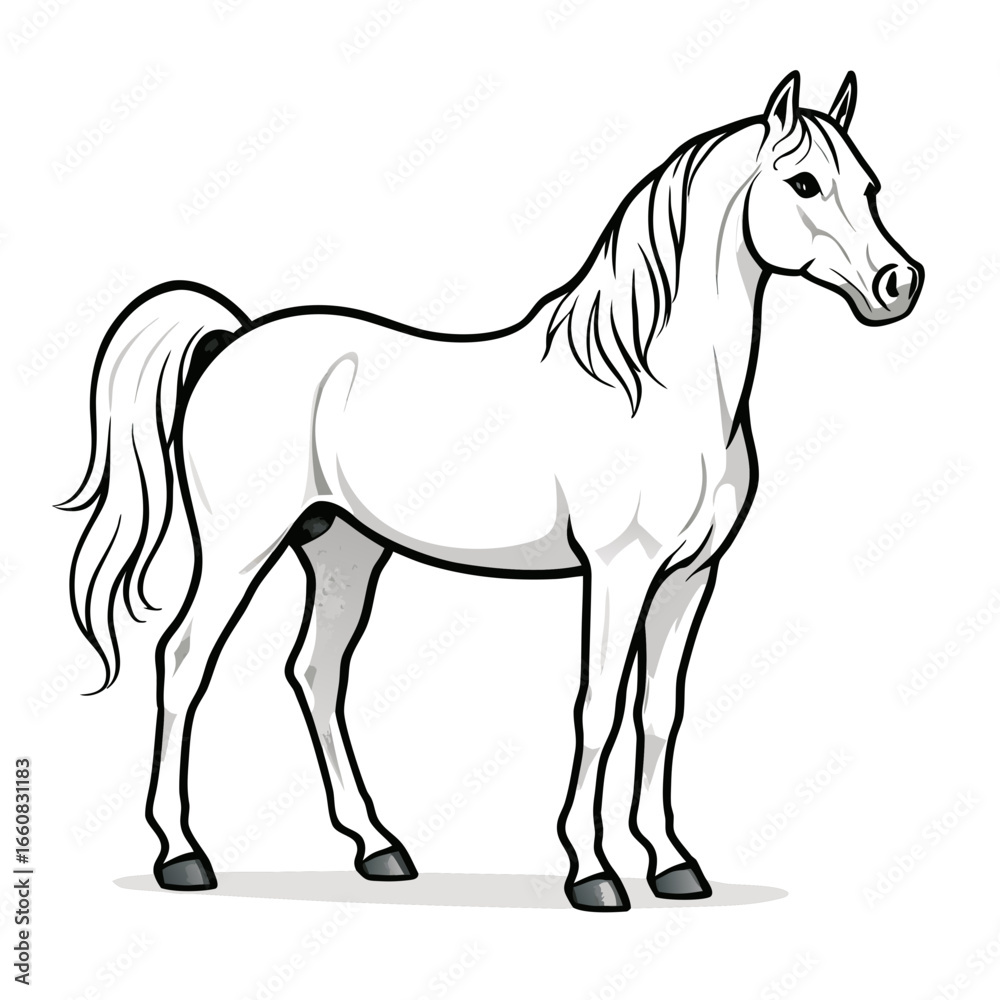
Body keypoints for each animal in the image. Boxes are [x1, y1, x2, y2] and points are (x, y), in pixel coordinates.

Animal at [60, 71, 923, 911]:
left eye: (870, 185)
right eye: (803, 182)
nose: (898, 284)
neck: (657, 385)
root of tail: (234, 337)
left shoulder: (690, 576)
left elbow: (659, 714)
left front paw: (674, 865)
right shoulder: (620, 570)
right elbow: (597, 709)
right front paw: (593, 872)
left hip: (344, 550)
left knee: (316, 673)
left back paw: (379, 848)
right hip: (241, 547)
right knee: (183, 660)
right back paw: (183, 855)